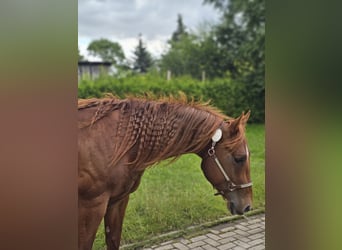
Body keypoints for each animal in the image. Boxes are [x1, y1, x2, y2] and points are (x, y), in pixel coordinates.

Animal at [79, 96, 252, 250]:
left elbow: (113, 241)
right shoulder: (92, 208)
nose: (248, 206)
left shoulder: (118, 201)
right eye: (240, 158)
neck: (117, 142)